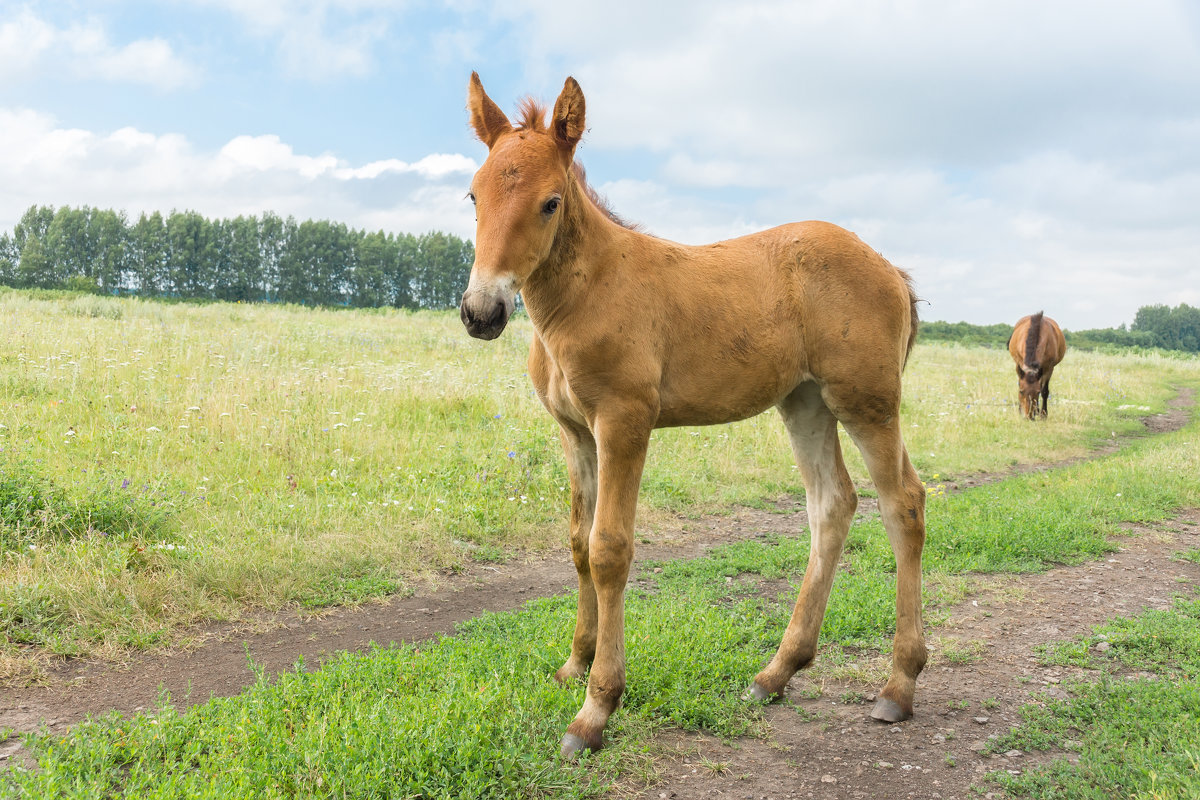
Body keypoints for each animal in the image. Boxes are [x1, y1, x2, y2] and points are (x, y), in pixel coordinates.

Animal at [458, 73, 926, 758]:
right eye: (474, 194)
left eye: (550, 202)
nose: (482, 312)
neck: (584, 294)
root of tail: (891, 268)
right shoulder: (575, 432)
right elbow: (576, 542)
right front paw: (575, 662)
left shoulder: (624, 421)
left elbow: (609, 548)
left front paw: (595, 710)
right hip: (805, 402)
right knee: (833, 505)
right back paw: (777, 671)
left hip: (866, 400)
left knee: (903, 504)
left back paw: (898, 684)